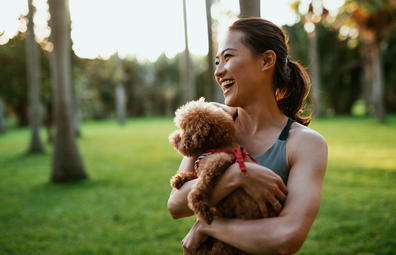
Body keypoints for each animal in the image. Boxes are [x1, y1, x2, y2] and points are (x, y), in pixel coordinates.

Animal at [167, 97, 272, 253]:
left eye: (183, 129)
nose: (172, 137)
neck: (217, 146)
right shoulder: (203, 168)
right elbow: (194, 176)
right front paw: (179, 179)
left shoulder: (216, 163)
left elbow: (197, 190)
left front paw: (202, 210)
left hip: (228, 241)